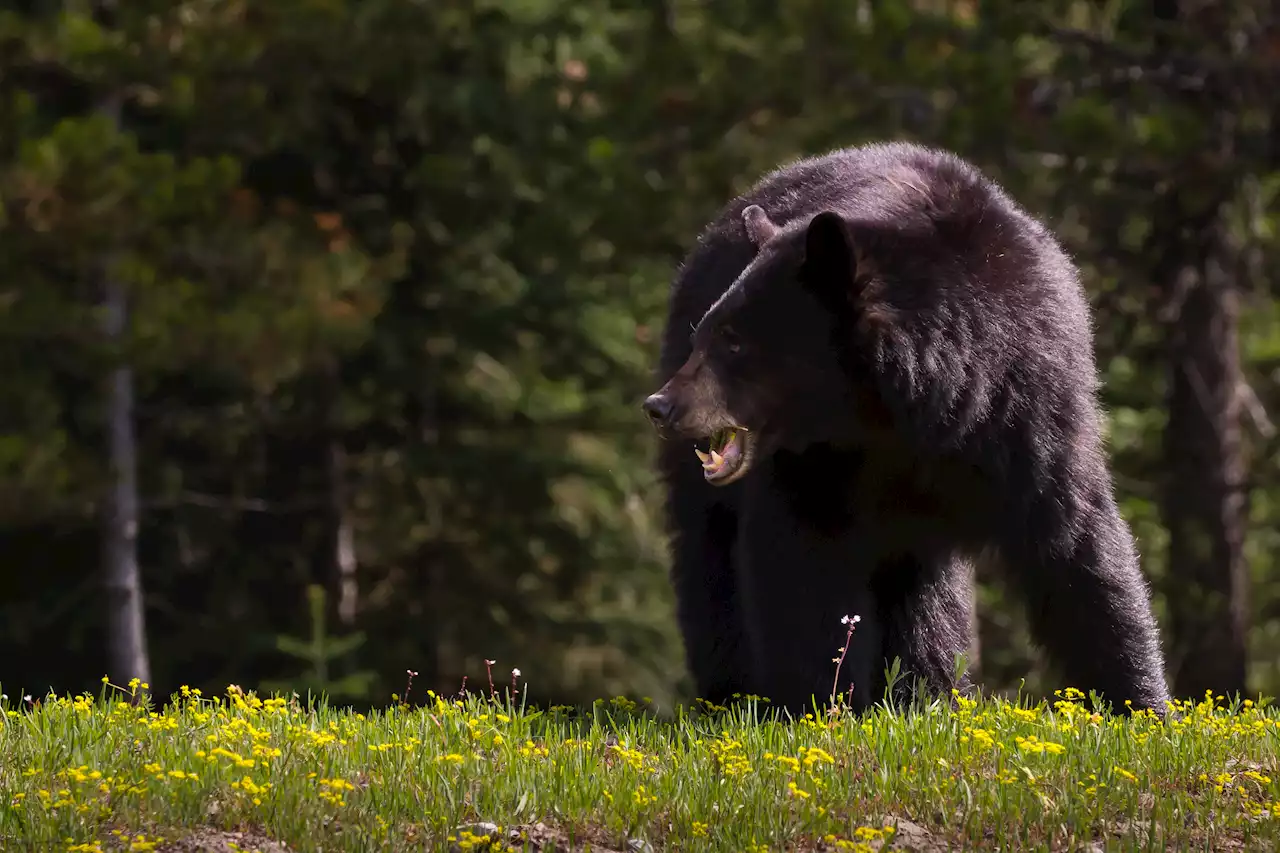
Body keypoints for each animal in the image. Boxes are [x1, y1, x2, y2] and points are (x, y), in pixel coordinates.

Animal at [645, 142, 1172, 712]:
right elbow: (802, 565)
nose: (662, 405)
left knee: (928, 599)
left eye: (735, 340)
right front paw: (823, 706)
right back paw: (734, 695)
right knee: (709, 558)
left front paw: (1143, 705)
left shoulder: (1027, 413)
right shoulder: (814, 466)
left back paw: (928, 691)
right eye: (707, 333)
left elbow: (1078, 548)